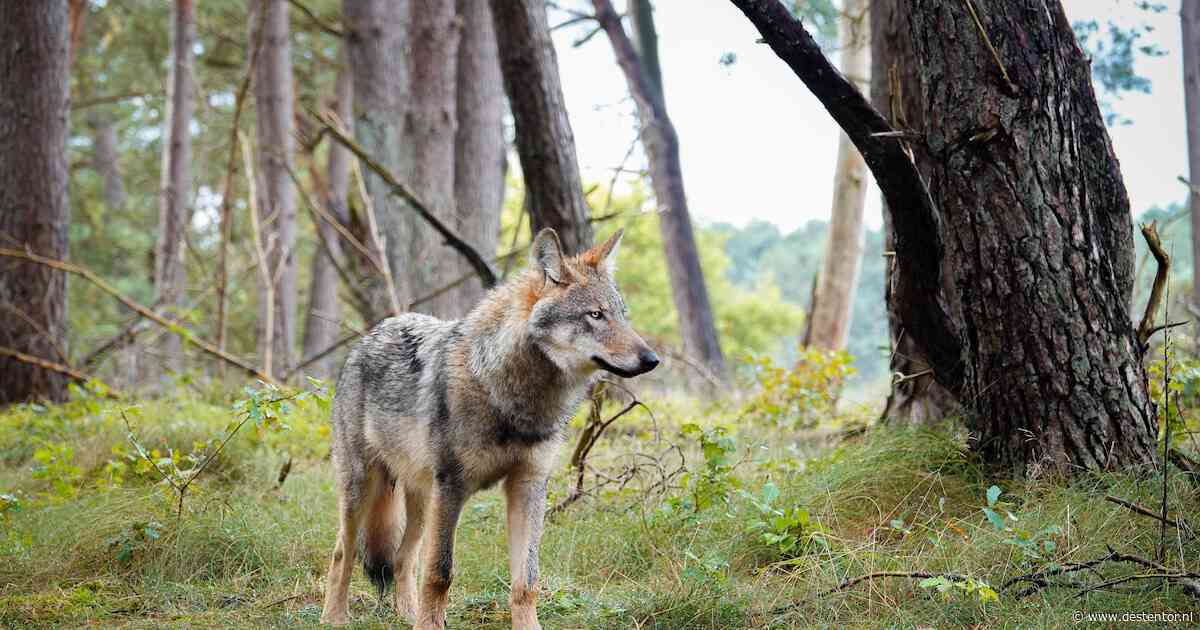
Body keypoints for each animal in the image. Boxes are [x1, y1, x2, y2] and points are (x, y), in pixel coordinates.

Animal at [320, 228, 659, 629]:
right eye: (595, 315)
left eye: (622, 316)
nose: (653, 359)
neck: (512, 397)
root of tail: (371, 334)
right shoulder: (452, 488)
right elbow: (440, 573)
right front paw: (430, 625)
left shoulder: (528, 486)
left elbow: (526, 581)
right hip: (364, 488)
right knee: (343, 553)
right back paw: (334, 617)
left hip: (421, 501)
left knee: (403, 559)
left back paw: (407, 615)